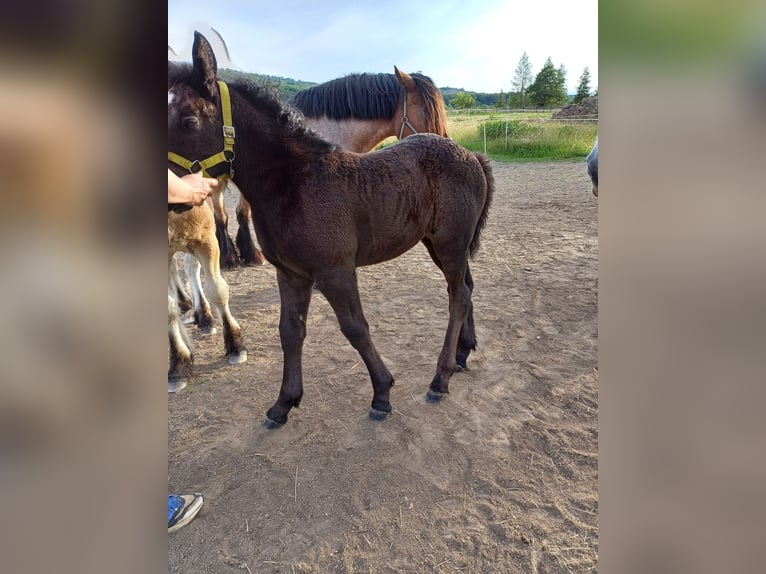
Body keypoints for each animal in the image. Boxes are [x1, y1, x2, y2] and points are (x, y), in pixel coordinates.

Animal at [213, 64, 452, 270]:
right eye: (427, 113)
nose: (444, 148)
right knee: (221, 215)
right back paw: (228, 258)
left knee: (241, 212)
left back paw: (250, 254)